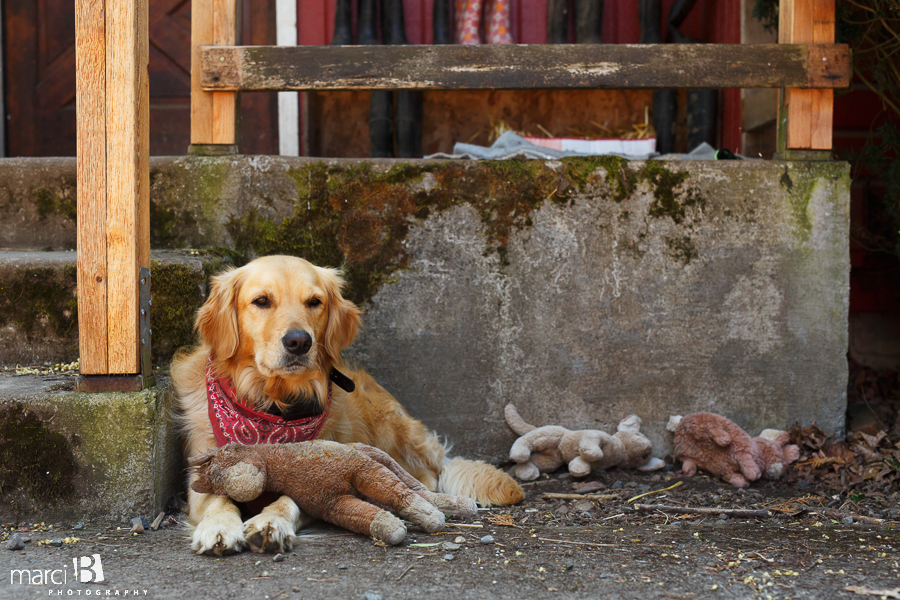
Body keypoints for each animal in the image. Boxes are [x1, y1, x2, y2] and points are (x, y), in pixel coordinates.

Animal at [171, 255, 524, 556]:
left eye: (314, 302)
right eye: (261, 301)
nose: (299, 341)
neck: (272, 406)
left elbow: (292, 497)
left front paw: (271, 521)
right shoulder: (202, 470)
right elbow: (217, 499)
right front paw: (219, 527)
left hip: (392, 427)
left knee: (427, 475)